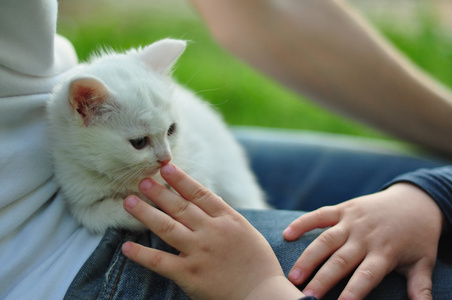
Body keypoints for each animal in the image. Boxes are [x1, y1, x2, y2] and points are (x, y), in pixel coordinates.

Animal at [48, 38, 268, 233]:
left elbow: (197, 174)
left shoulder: (196, 150)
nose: (166, 158)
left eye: (171, 130)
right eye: (139, 142)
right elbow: (98, 216)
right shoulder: (78, 195)